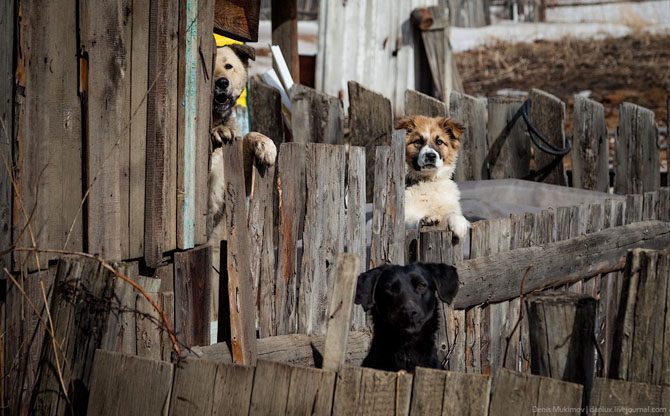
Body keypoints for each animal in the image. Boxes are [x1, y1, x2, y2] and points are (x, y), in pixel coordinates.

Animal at [207, 44, 276, 231]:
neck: (217, 118)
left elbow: (250, 135)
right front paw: (219, 131)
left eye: (228, 66)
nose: (222, 82)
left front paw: (266, 146)